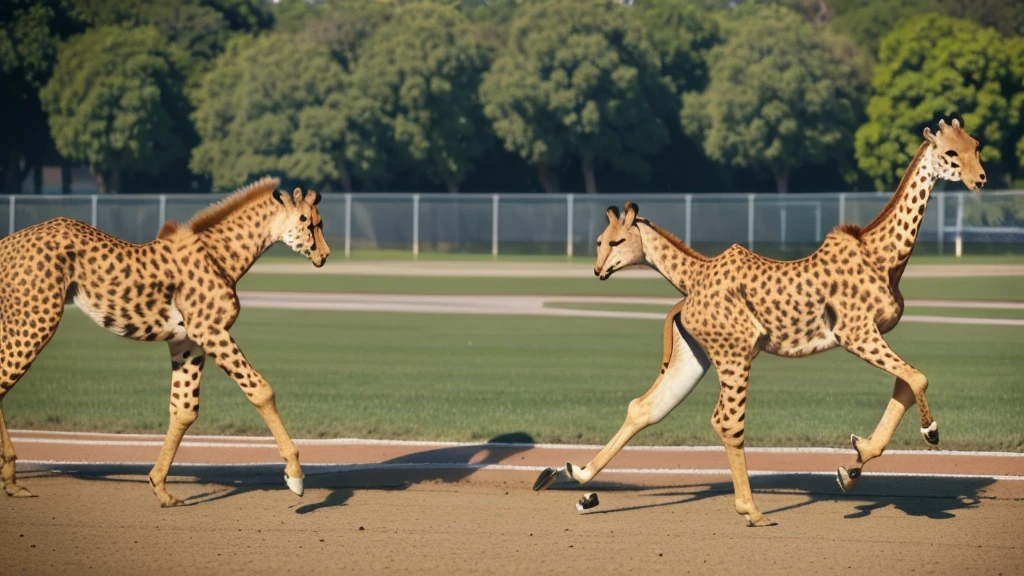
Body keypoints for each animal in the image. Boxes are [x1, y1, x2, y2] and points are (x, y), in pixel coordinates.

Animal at [0, 177, 330, 506]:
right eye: (311, 222)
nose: (325, 255)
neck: (218, 254)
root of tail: (10, 240)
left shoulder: (189, 342)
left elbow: (184, 410)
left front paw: (160, 486)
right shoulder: (212, 332)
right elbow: (261, 390)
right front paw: (295, 475)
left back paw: (11, 479)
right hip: (35, 321)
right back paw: (12, 478)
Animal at [534, 119, 986, 526]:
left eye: (975, 146)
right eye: (951, 152)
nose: (980, 179)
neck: (884, 255)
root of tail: (696, 280)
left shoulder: (869, 336)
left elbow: (906, 385)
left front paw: (854, 465)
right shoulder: (856, 334)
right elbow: (918, 378)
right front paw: (930, 433)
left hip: (696, 358)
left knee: (645, 407)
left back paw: (576, 478)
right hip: (733, 356)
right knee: (726, 422)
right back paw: (751, 510)